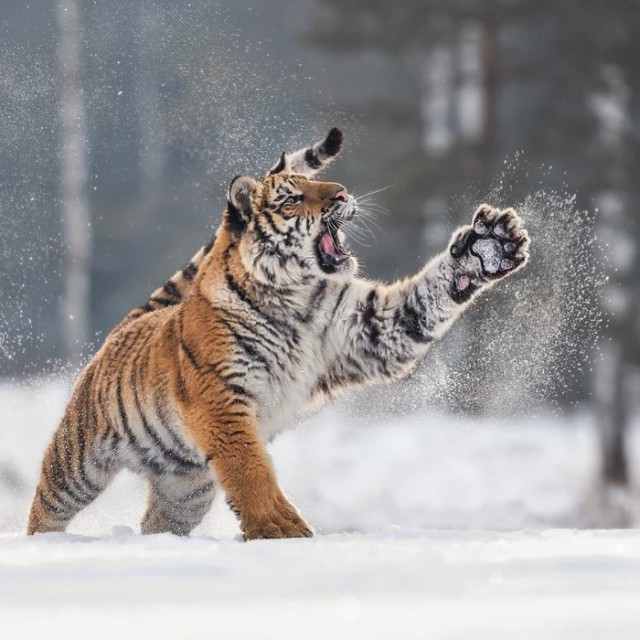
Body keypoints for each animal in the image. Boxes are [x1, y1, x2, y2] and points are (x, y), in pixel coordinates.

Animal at [27, 127, 528, 536]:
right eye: (292, 197)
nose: (343, 193)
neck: (296, 298)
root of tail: (130, 321)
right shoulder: (220, 396)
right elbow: (251, 471)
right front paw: (281, 531)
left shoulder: (372, 333)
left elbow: (427, 298)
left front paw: (489, 247)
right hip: (77, 463)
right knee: (46, 508)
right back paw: (44, 545)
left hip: (185, 488)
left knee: (158, 522)